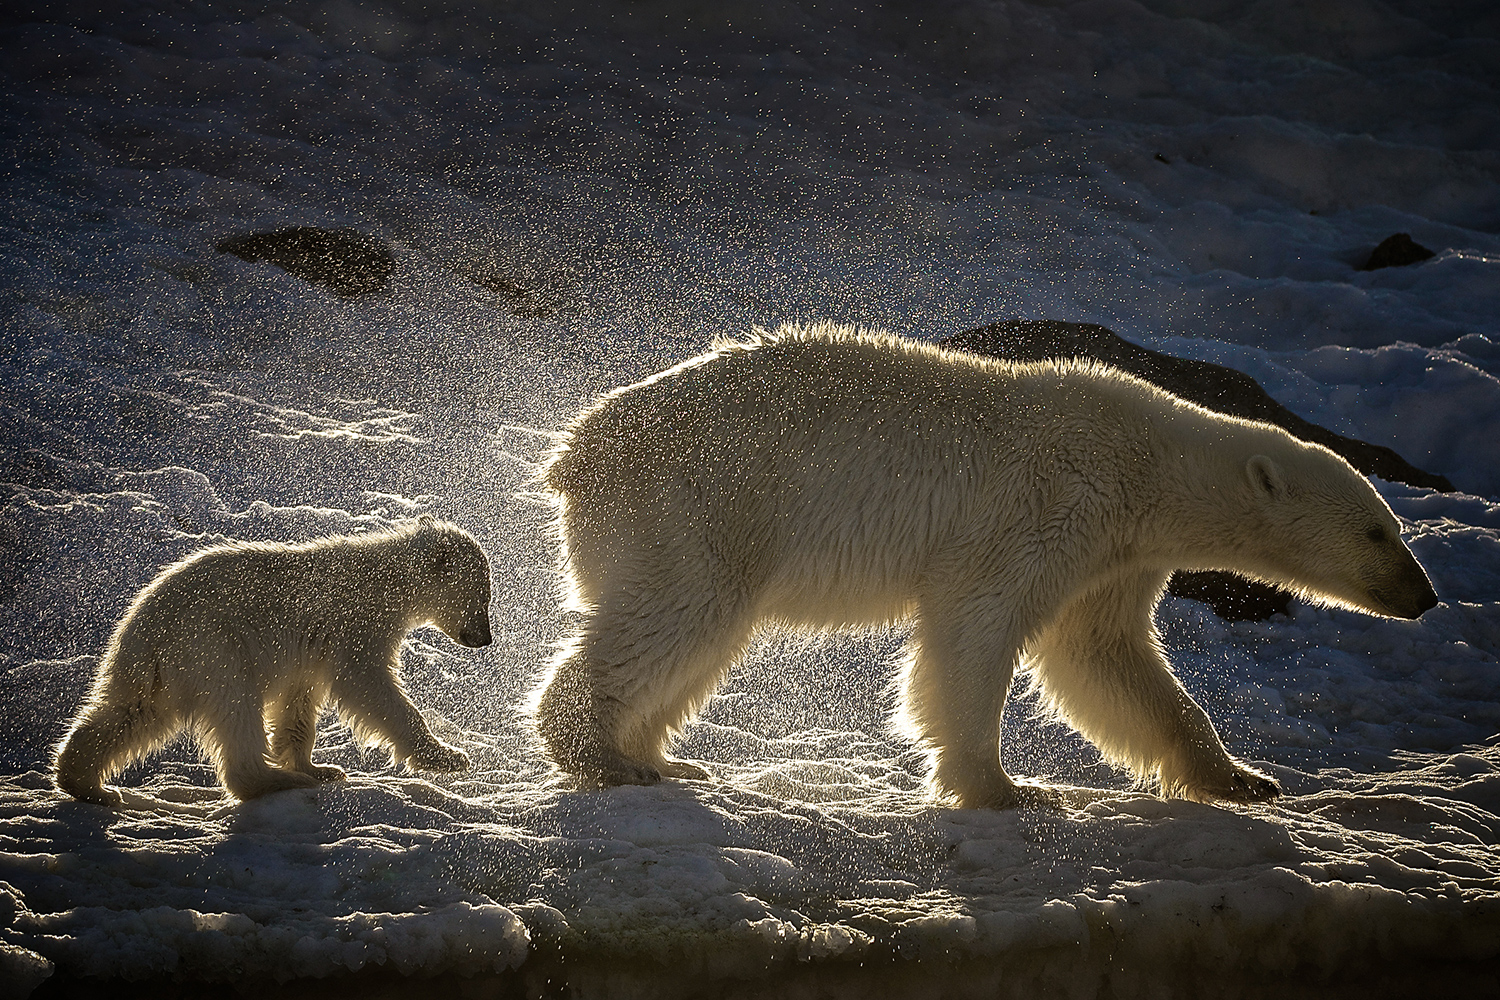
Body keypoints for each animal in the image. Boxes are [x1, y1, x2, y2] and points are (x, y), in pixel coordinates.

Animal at [534, 325, 1434, 809]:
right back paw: (601, 754)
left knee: (699, 638)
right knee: (679, 614)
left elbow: (1102, 656)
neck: (1143, 462)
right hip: (699, 503)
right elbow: (978, 625)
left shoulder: (1116, 557)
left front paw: (1243, 779)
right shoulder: (1045, 506)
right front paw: (1005, 786)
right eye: (1377, 532)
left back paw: (661, 755)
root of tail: (573, 454)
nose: (1425, 596)